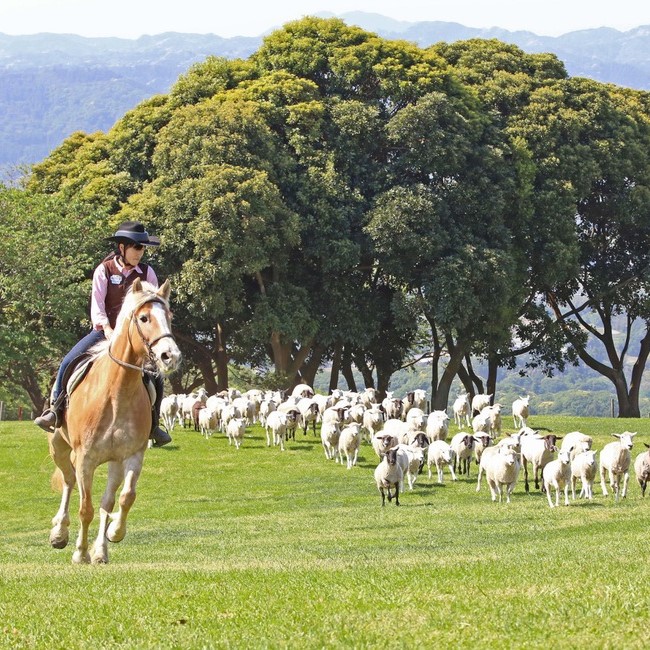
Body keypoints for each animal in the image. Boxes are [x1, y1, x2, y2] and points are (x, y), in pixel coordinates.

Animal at [47, 278, 180, 560]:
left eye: (169, 316)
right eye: (143, 318)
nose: (170, 356)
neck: (116, 394)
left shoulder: (131, 456)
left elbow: (124, 498)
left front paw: (112, 535)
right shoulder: (85, 459)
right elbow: (85, 508)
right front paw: (80, 553)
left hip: (113, 463)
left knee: (106, 501)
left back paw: (100, 550)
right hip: (59, 447)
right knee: (68, 481)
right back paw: (60, 532)